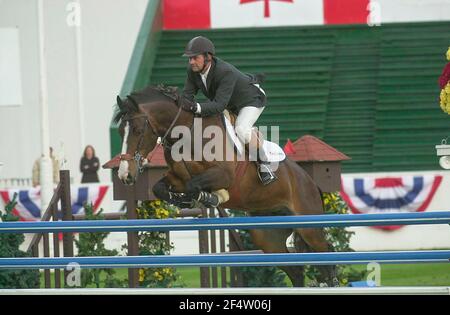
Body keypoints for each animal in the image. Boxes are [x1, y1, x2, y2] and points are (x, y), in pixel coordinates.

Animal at [111, 85, 338, 288]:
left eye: (138, 131)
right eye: (120, 131)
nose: (125, 174)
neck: (187, 133)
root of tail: (311, 182)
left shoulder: (223, 175)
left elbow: (195, 185)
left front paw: (212, 197)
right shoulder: (177, 178)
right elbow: (160, 188)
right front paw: (185, 201)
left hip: (308, 226)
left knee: (327, 254)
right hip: (268, 236)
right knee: (296, 270)